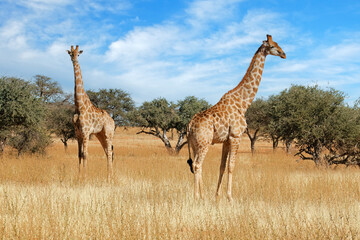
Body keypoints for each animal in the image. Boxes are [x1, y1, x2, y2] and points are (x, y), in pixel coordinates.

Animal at [66, 45, 114, 180]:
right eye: (71, 53)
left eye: (78, 54)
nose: (74, 60)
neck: (79, 106)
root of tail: (113, 121)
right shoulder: (78, 133)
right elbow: (79, 154)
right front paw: (79, 177)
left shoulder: (86, 132)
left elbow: (86, 154)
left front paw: (85, 178)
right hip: (100, 134)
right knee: (107, 152)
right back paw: (109, 176)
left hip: (108, 133)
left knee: (110, 152)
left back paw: (110, 178)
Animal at [187, 34, 286, 200]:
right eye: (273, 46)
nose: (284, 54)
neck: (243, 102)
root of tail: (189, 126)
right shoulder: (236, 136)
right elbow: (231, 166)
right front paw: (229, 197)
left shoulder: (226, 140)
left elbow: (221, 166)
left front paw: (216, 196)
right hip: (204, 143)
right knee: (197, 164)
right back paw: (197, 197)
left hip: (195, 145)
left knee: (196, 165)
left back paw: (203, 195)